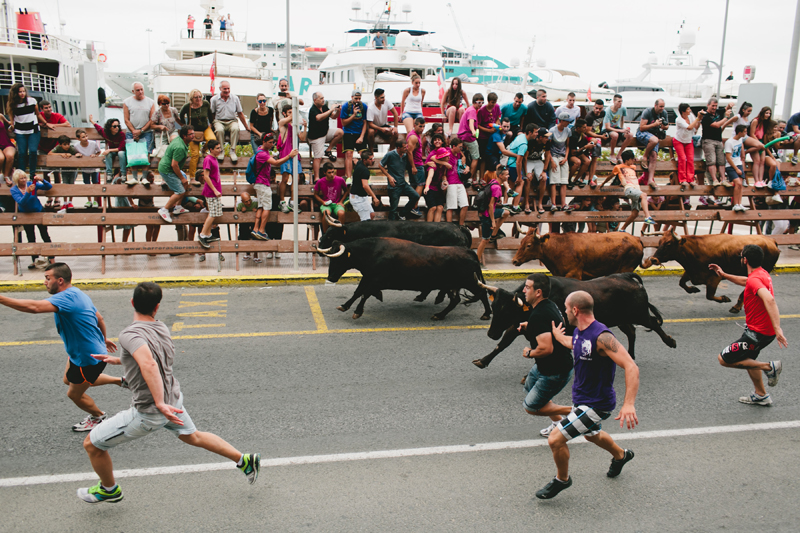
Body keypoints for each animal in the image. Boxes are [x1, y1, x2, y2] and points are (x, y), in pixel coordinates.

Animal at [472, 272, 680, 368]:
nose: (491, 333)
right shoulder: (517, 326)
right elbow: (502, 343)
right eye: (494, 307)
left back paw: (670, 341)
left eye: (506, 310)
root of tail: (626, 276)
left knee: (653, 322)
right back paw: (630, 356)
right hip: (622, 318)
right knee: (632, 331)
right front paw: (483, 360)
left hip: (639, 314)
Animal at [512, 227, 644, 280]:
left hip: (625, 269)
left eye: (528, 245)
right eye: (521, 242)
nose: (514, 260)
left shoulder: (574, 274)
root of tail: (636, 239)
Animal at [644, 232, 780, 314]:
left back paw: (736, 306)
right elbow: (681, 283)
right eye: (659, 242)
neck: (696, 250)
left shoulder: (714, 278)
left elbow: (709, 295)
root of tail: (771, 240)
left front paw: (724, 299)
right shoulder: (691, 272)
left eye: (668, 244)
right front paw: (693, 289)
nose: (654, 259)